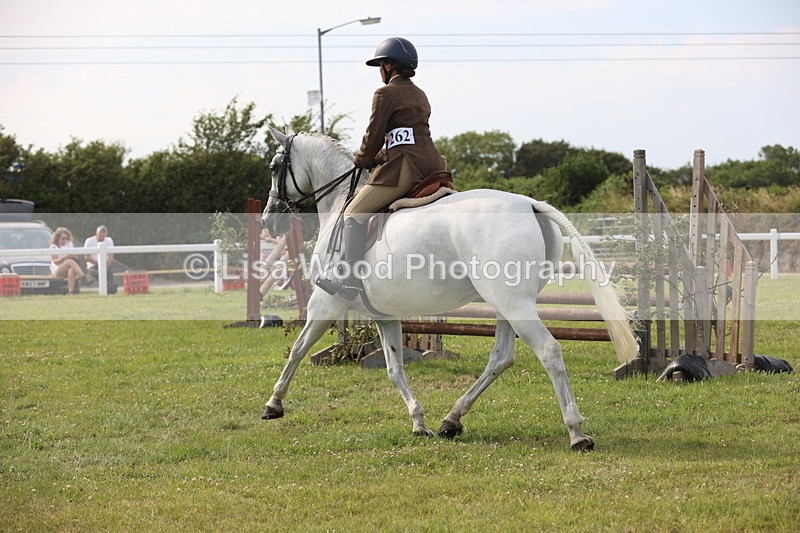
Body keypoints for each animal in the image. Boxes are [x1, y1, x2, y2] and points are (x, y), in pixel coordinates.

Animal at [260, 126, 638, 451]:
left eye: (275, 166)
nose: (269, 220)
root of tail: (529, 203)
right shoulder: (383, 314)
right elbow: (394, 369)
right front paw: (418, 422)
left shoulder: (325, 303)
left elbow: (297, 350)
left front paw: (273, 404)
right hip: (506, 304)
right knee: (501, 358)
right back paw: (451, 420)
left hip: (514, 304)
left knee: (549, 351)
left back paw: (576, 433)